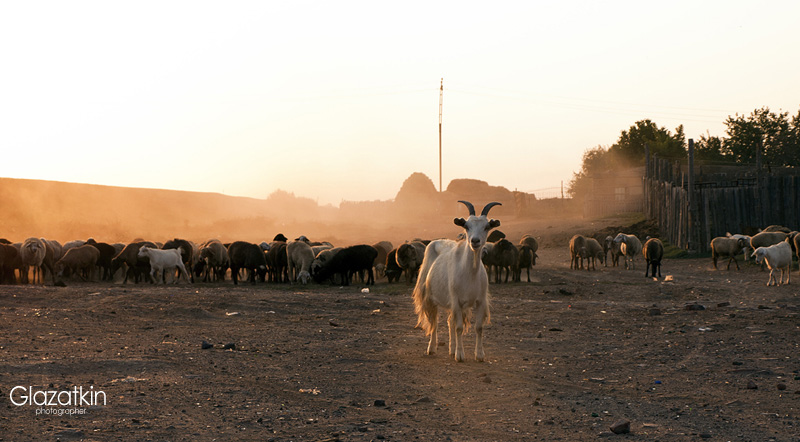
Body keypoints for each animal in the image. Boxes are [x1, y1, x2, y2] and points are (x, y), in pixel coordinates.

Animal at [412, 200, 500, 362]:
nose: (475, 241)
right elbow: (459, 327)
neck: (470, 274)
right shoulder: (456, 300)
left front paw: (479, 355)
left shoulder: (480, 301)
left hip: (449, 303)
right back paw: (432, 348)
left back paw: (451, 349)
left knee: (449, 322)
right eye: (466, 226)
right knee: (434, 322)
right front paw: (460, 355)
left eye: (486, 227)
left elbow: (478, 327)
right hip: (430, 297)